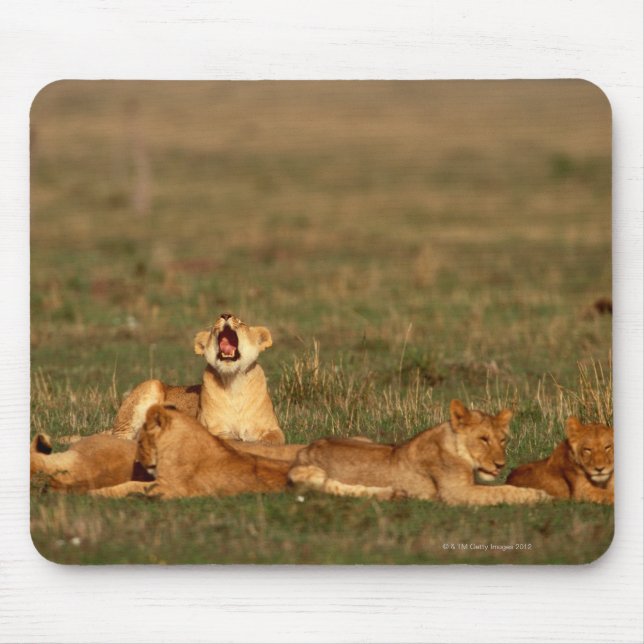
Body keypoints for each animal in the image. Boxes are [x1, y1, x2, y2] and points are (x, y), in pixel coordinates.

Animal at [111, 313, 285, 444]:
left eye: (242, 323)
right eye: (215, 325)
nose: (225, 315)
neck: (233, 381)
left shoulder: (274, 429)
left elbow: (272, 439)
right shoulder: (211, 428)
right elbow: (226, 438)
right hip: (151, 386)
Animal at [288, 399, 550, 505]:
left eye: (503, 439)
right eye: (483, 439)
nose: (500, 464)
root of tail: (305, 449)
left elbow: (503, 487)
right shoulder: (456, 493)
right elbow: (501, 492)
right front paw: (540, 496)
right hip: (312, 474)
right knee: (332, 487)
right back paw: (394, 494)